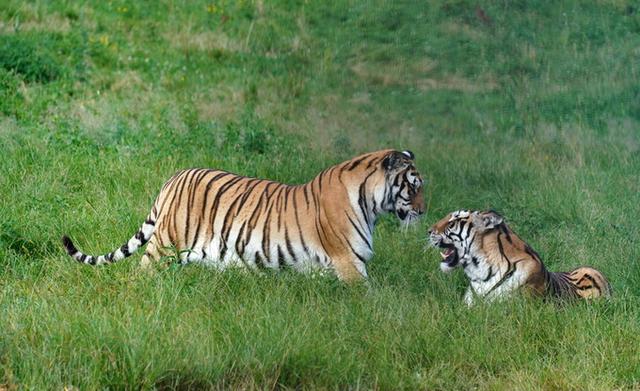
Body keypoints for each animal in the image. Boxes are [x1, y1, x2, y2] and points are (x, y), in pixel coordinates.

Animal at [62, 150, 428, 282]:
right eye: (413, 186)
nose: (425, 212)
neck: (370, 204)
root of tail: (175, 177)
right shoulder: (349, 263)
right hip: (165, 244)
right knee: (142, 271)